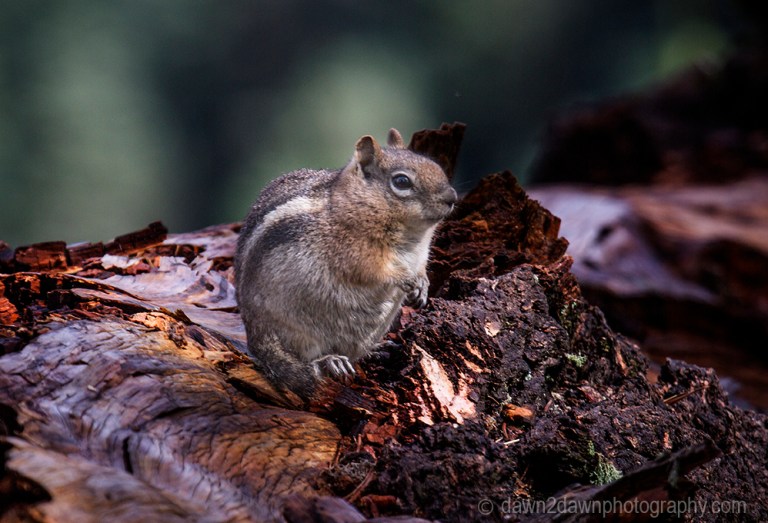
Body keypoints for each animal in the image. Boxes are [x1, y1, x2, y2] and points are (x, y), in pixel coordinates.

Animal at [234, 128, 457, 399]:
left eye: (435, 166)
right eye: (402, 182)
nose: (452, 198)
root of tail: (254, 335)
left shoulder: (421, 254)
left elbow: (422, 268)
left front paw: (423, 286)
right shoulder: (354, 251)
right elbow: (375, 271)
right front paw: (407, 279)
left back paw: (377, 350)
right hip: (296, 329)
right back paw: (329, 361)